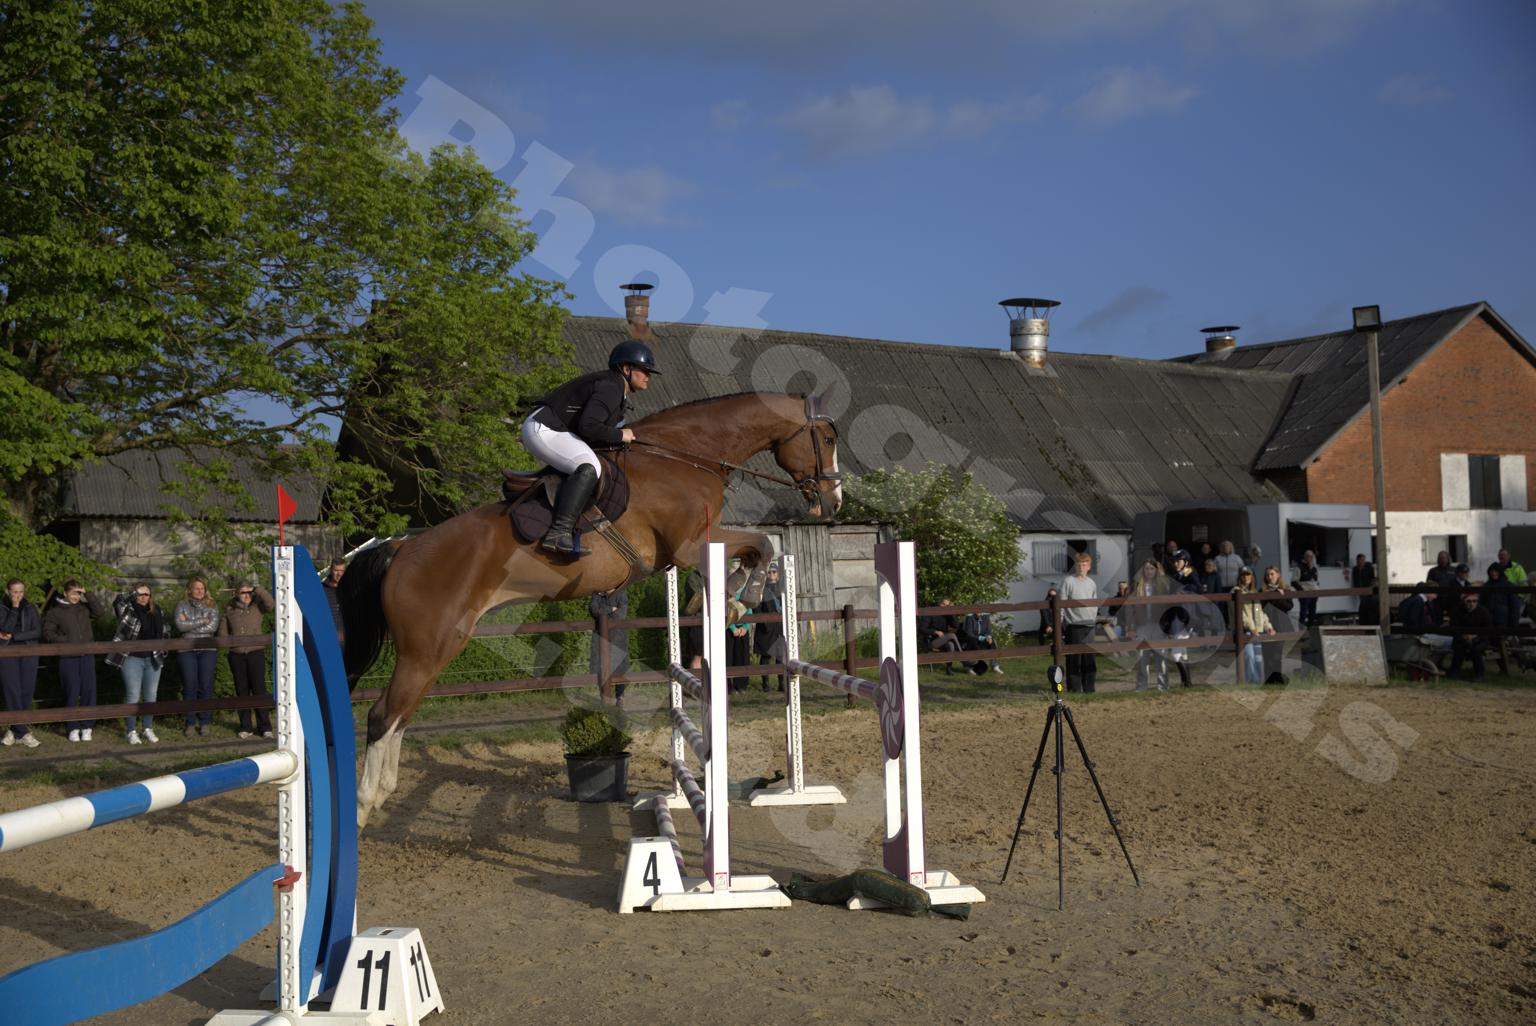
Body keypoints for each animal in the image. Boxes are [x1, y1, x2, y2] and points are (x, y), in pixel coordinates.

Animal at [339, 392, 842, 826]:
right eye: (828, 440)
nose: (833, 501)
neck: (684, 456)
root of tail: (400, 549)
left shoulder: (695, 545)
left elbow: (756, 549)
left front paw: (731, 598)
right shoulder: (690, 544)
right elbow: (763, 544)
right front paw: (743, 598)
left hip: (440, 647)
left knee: (400, 715)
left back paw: (382, 794)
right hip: (426, 647)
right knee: (383, 715)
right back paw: (362, 807)